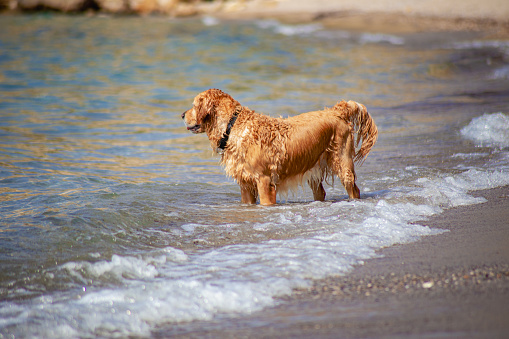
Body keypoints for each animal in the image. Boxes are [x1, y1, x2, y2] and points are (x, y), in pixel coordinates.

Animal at [183, 88, 378, 205]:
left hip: (342, 162)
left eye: (194, 106)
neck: (233, 126)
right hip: (313, 167)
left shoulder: (264, 181)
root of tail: (336, 110)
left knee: (354, 189)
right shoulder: (245, 183)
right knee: (320, 192)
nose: (182, 114)